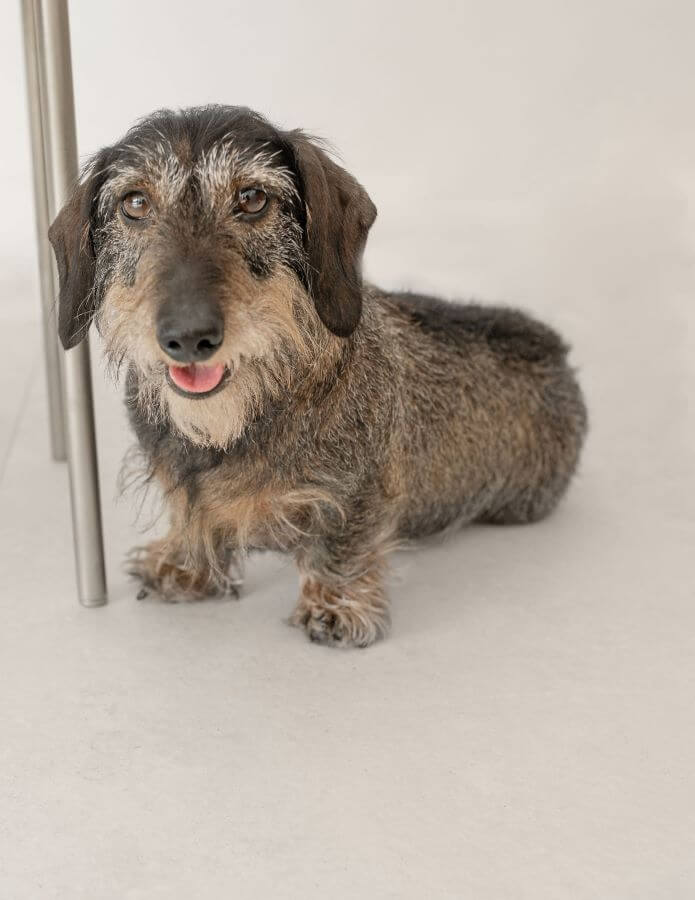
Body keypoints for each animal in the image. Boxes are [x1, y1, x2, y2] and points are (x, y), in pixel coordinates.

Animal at [49, 103, 588, 648]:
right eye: (135, 203)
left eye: (253, 198)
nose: (188, 335)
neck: (245, 417)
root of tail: (558, 350)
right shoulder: (181, 484)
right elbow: (188, 510)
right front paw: (184, 565)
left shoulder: (360, 487)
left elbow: (341, 539)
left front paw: (336, 606)